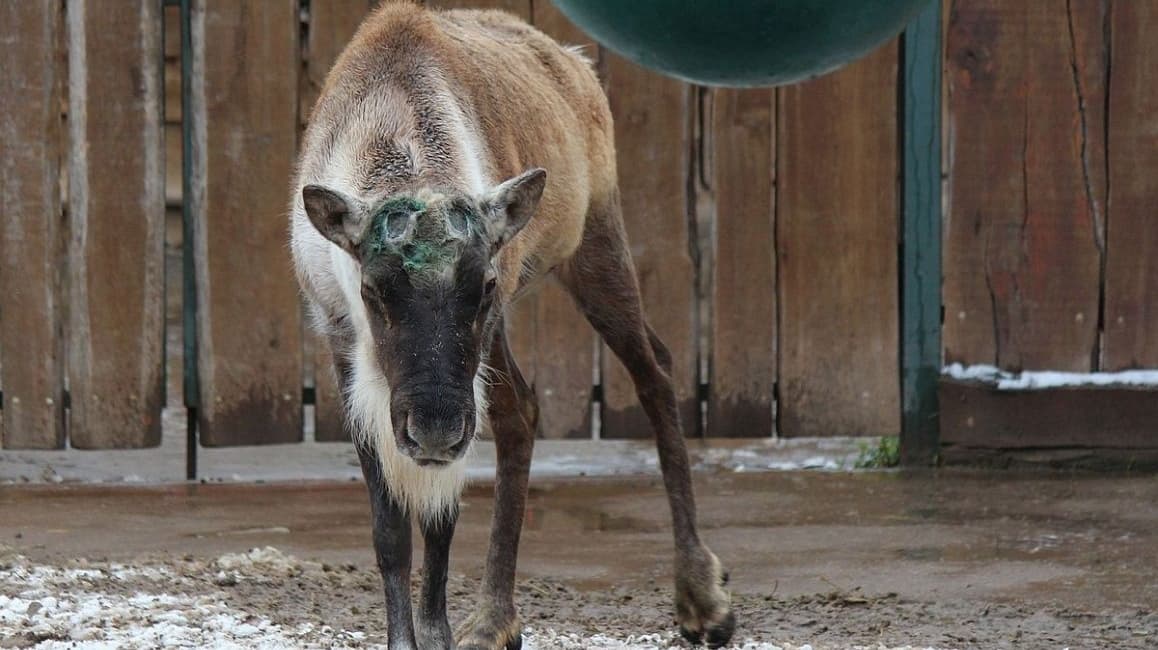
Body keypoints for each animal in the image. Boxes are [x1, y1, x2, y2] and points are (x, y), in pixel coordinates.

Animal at [290, 3, 734, 649]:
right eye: (373, 289)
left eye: (486, 285)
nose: (433, 431)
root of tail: (576, 63)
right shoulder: (341, 339)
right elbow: (391, 528)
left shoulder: (472, 358)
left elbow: (442, 520)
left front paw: (442, 632)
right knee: (524, 408)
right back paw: (499, 619)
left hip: (595, 243)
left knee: (653, 371)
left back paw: (701, 598)